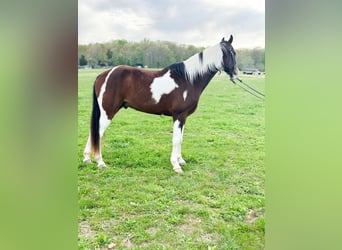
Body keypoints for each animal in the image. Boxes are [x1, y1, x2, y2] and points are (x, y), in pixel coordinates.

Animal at [83, 35, 239, 173]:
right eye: (232, 52)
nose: (236, 73)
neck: (188, 79)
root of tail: (104, 74)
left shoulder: (183, 117)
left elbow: (180, 139)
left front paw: (180, 160)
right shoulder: (178, 115)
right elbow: (176, 139)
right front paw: (176, 165)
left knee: (93, 133)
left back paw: (87, 159)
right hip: (108, 113)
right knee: (97, 133)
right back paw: (100, 162)